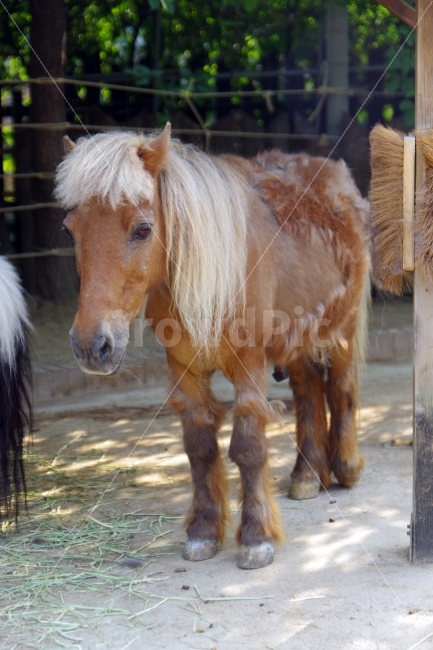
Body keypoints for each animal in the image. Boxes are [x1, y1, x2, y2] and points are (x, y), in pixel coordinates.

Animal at [55, 124, 370, 569]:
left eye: (142, 229)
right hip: (297, 339)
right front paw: (203, 532)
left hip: (341, 327)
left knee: (341, 389)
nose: (91, 345)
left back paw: (346, 467)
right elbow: (200, 448)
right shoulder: (185, 370)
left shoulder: (250, 367)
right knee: (308, 391)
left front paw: (256, 538)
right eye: (69, 230)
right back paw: (307, 475)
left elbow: (248, 446)